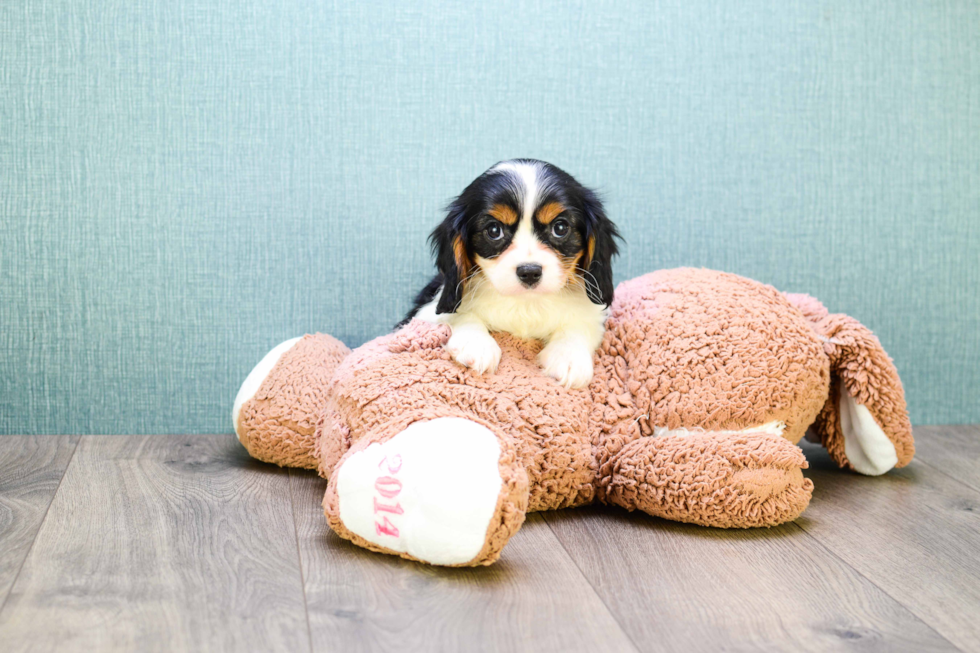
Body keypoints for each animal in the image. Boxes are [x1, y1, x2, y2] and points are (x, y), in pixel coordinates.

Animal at [400, 159, 620, 388]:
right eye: (493, 230)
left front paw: (569, 356)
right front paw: (476, 344)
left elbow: (579, 324)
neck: (526, 303)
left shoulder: (593, 314)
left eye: (560, 228)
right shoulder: (425, 311)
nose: (530, 272)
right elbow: (460, 314)